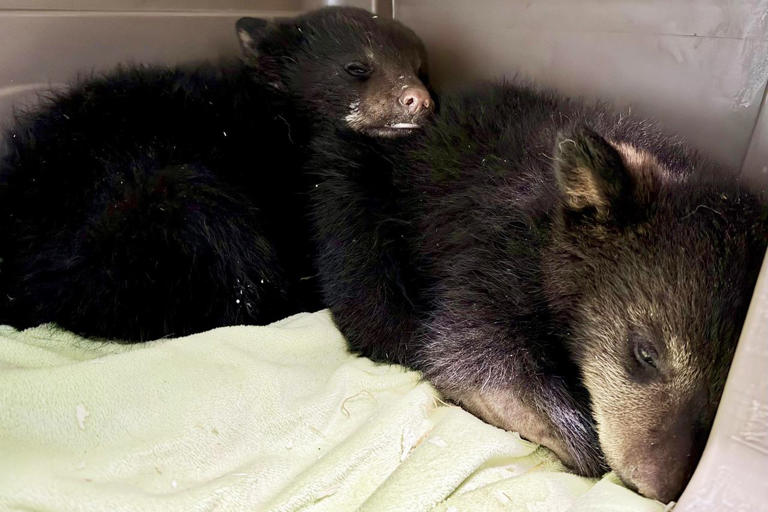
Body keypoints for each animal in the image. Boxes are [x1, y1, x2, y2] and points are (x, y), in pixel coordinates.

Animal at [305, 81, 768, 502]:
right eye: (645, 353)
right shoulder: (494, 261)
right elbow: (475, 361)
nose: (661, 487)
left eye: (725, 386)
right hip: (356, 193)